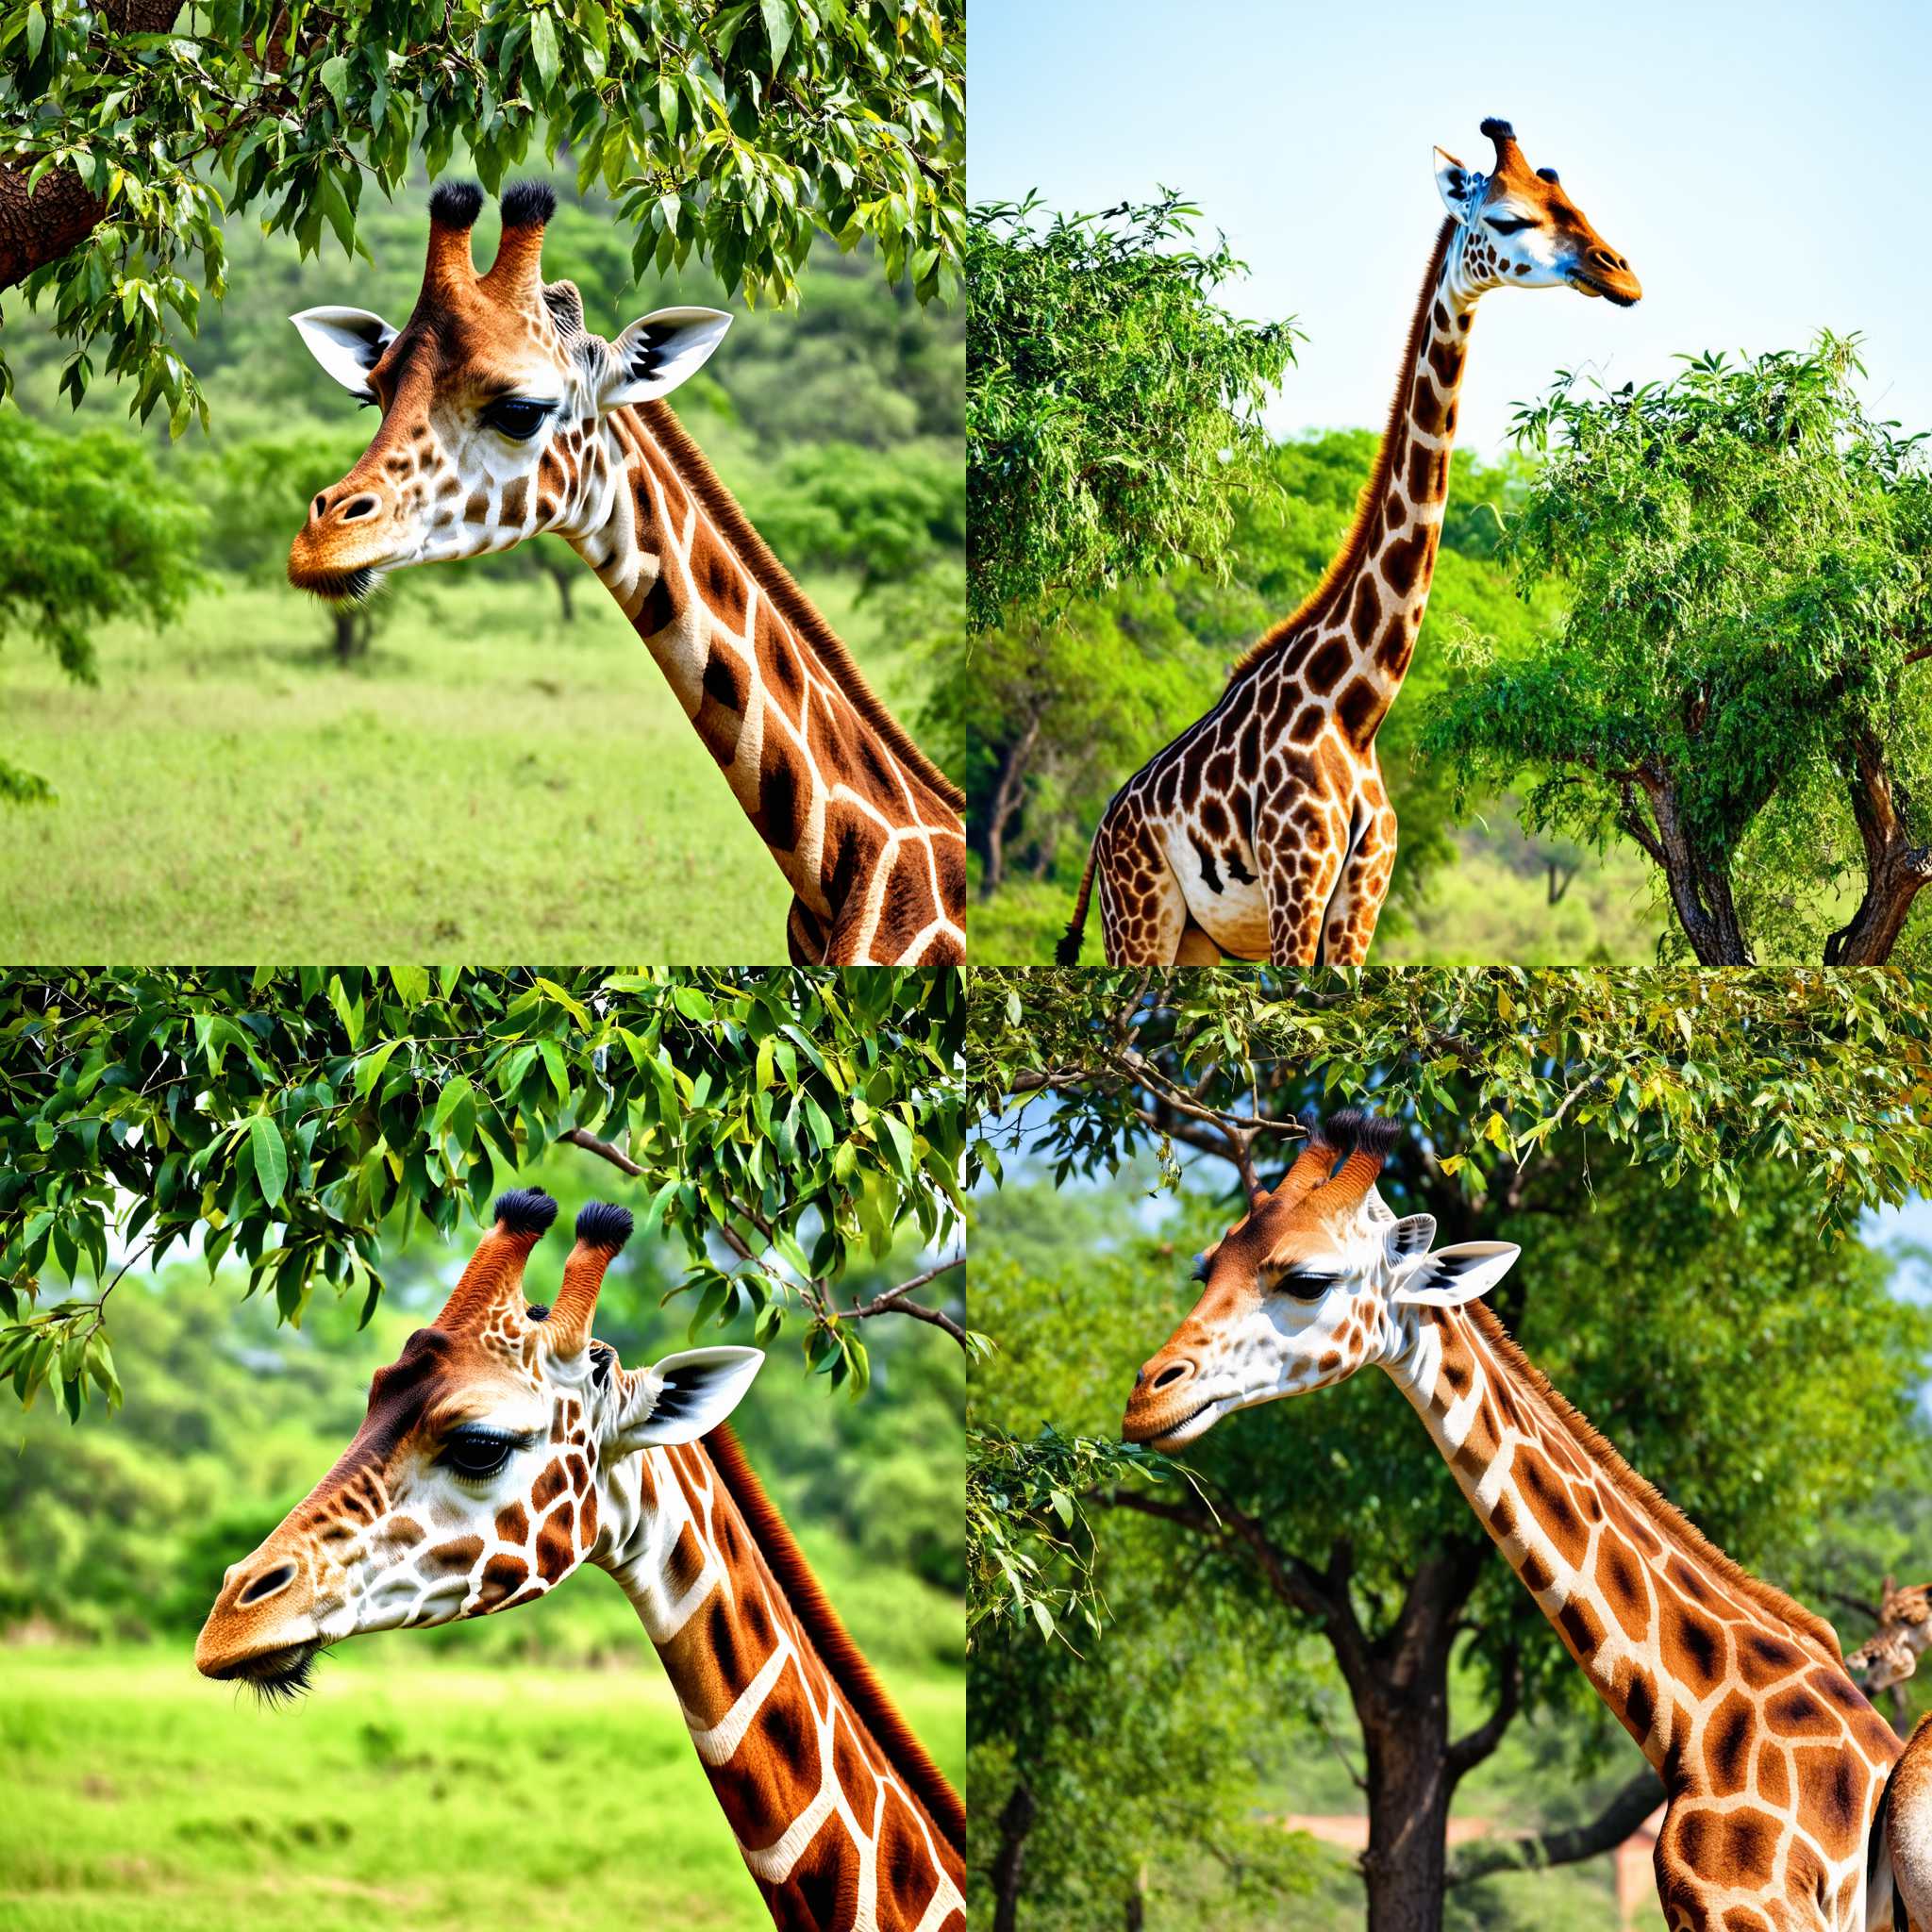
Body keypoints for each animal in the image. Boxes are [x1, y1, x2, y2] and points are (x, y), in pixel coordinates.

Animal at [1066, 118, 1638, 966]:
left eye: (1575, 206)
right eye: (1509, 219)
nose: (1620, 274)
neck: (1357, 707)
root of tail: (1102, 832)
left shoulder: (1362, 898)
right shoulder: (1296, 879)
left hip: (1197, 939)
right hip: (1139, 916)